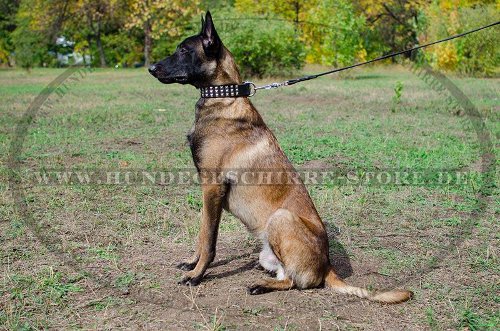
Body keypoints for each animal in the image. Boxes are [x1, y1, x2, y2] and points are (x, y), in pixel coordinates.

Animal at [148, 12, 414, 304]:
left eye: (184, 50)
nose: (150, 68)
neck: (223, 99)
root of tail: (327, 264)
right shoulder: (208, 193)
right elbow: (201, 233)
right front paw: (192, 262)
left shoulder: (212, 187)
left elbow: (209, 240)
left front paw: (197, 275)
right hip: (268, 250)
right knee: (285, 275)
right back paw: (261, 281)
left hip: (281, 218)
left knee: (295, 281)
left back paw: (260, 285)